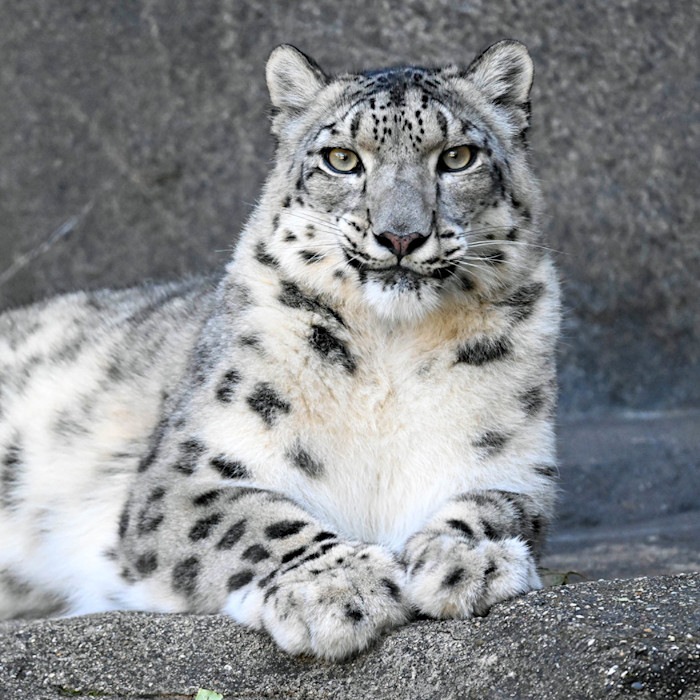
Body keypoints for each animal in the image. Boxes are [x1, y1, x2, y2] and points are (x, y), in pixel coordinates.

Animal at [0, 40, 560, 660]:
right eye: (342, 159)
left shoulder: (516, 464)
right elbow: (254, 519)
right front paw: (339, 588)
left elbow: (495, 508)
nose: (401, 236)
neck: (391, 350)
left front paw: (469, 560)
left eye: (458, 157)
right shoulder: (187, 471)